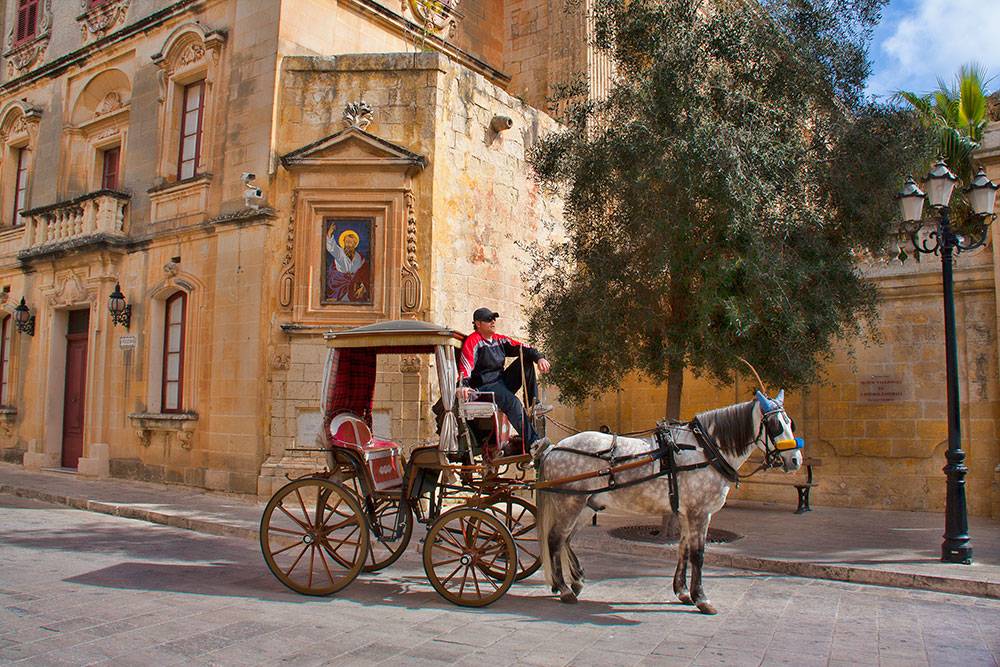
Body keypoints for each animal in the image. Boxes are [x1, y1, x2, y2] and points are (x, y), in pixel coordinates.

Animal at [536, 392, 800, 616]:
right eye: (776, 425)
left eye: (791, 423)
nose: (795, 459)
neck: (706, 449)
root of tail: (553, 448)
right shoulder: (700, 513)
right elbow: (698, 554)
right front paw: (701, 598)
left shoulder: (685, 512)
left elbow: (684, 550)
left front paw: (682, 591)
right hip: (571, 502)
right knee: (555, 539)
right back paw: (565, 589)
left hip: (586, 505)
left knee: (566, 539)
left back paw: (576, 580)